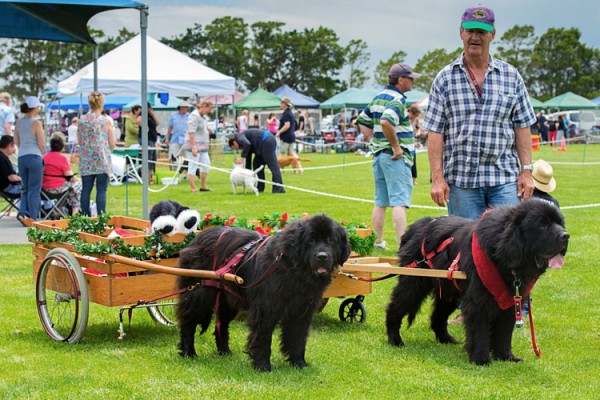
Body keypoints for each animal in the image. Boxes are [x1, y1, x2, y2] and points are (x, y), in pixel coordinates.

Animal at [176, 216, 350, 372]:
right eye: (311, 240)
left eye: (331, 240)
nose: (322, 256)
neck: (294, 270)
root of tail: (199, 236)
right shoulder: (266, 308)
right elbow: (263, 337)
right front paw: (262, 365)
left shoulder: (302, 309)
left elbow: (298, 337)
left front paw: (299, 363)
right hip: (199, 293)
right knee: (189, 321)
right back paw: (189, 352)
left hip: (228, 298)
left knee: (222, 323)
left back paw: (225, 351)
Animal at [386, 198, 568, 364]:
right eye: (542, 224)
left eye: (560, 223)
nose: (566, 236)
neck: (503, 255)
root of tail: (413, 227)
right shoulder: (478, 302)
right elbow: (479, 331)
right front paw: (481, 359)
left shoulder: (511, 300)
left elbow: (504, 332)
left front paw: (506, 356)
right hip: (414, 283)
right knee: (395, 307)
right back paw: (395, 340)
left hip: (450, 292)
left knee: (438, 316)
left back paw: (446, 339)